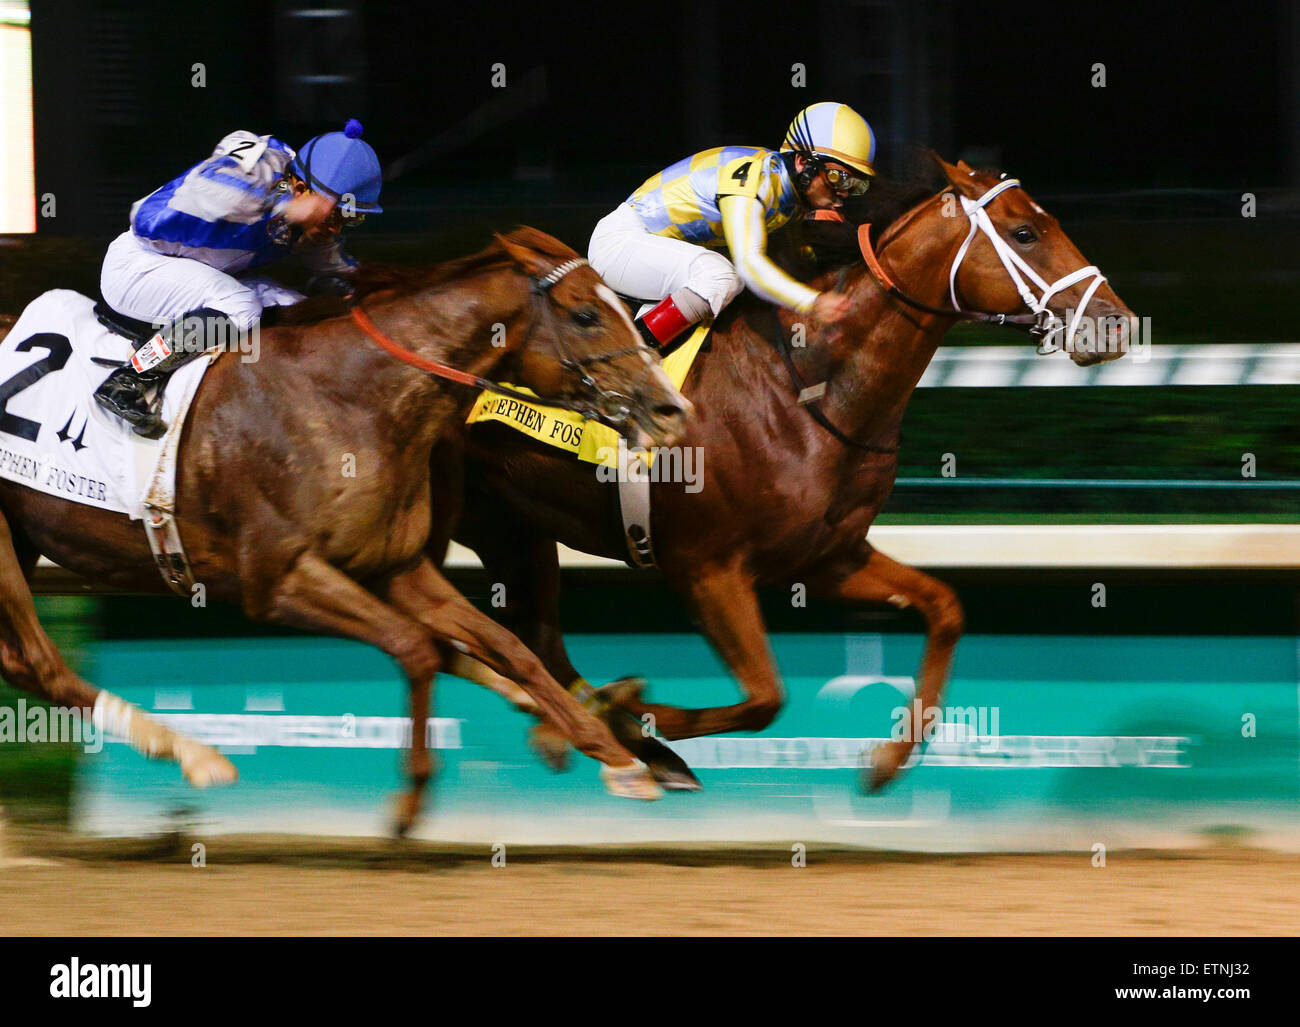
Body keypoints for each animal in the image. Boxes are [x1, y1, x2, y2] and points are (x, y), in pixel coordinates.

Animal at [0, 227, 691, 826]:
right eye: (586, 314)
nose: (671, 409)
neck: (347, 395)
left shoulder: (396, 568)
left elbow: (508, 647)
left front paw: (617, 754)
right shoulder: (280, 579)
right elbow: (415, 648)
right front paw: (410, 799)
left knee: (21, 664)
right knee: (40, 663)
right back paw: (194, 754)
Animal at [441, 158, 1133, 790]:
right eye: (1025, 233)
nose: (1117, 323)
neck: (809, 387)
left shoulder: (825, 556)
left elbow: (945, 607)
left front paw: (888, 761)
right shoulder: (707, 567)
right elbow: (765, 699)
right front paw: (634, 715)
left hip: (512, 529)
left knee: (536, 641)